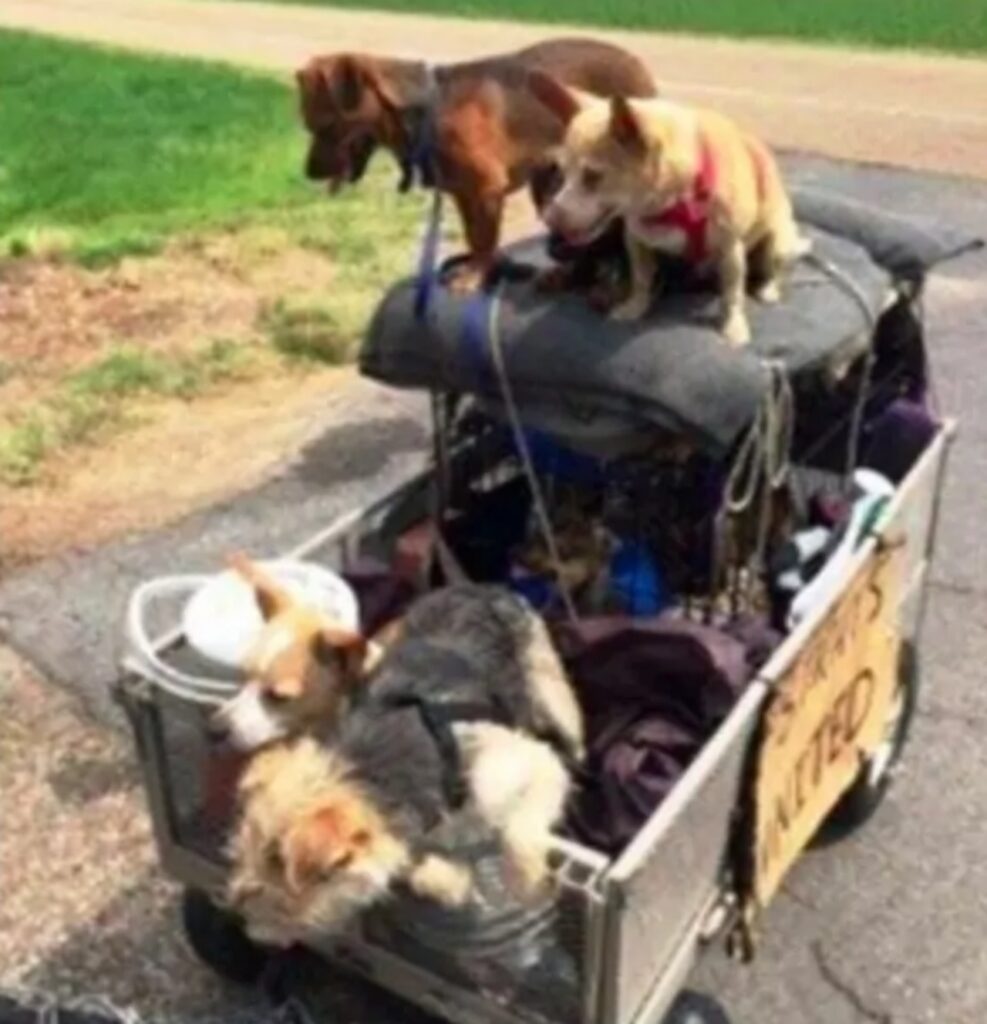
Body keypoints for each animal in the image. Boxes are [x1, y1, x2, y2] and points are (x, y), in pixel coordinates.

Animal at [296, 37, 659, 290]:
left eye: (326, 126)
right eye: (309, 126)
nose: (308, 174)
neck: (426, 111)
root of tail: (637, 62)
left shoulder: (486, 190)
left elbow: (484, 240)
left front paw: (475, 276)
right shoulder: (464, 194)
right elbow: (474, 237)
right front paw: (479, 268)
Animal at [528, 75, 806, 346]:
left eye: (593, 176)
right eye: (562, 174)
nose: (549, 219)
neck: (673, 200)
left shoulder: (730, 250)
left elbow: (731, 294)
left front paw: (733, 327)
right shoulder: (636, 242)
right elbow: (640, 279)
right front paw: (634, 308)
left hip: (777, 246)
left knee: (773, 270)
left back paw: (768, 289)